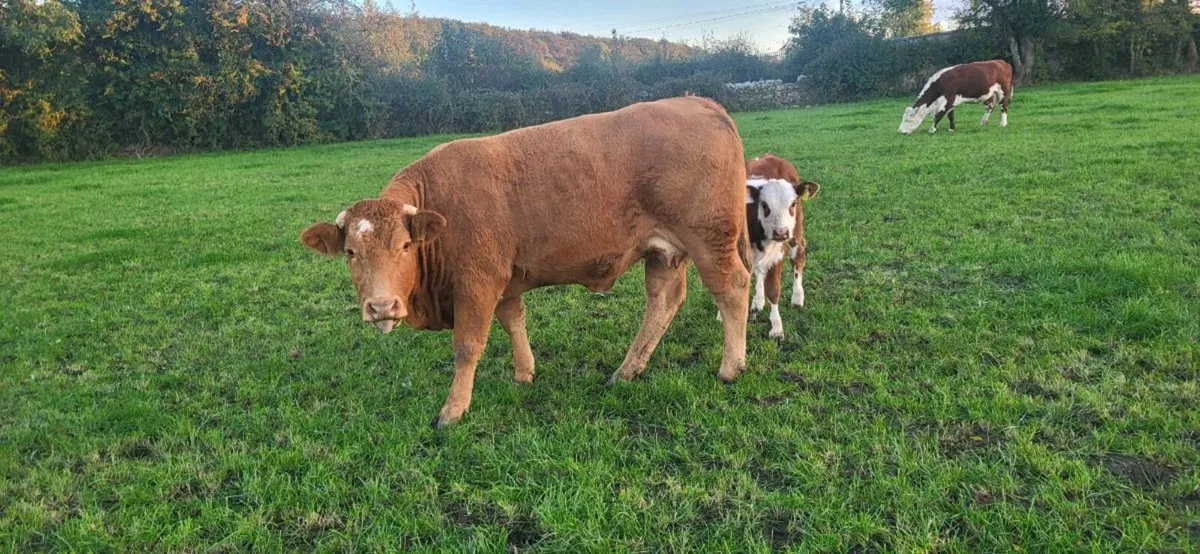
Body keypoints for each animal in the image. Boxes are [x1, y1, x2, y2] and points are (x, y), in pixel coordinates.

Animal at [300, 96, 752, 428]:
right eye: (351, 252)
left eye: (405, 246)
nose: (381, 307)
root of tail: (697, 101)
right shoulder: (505, 280)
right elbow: (514, 321)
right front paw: (524, 373)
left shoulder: (478, 282)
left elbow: (467, 346)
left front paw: (453, 410)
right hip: (664, 251)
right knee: (663, 302)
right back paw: (627, 370)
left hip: (709, 237)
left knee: (732, 288)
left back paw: (731, 368)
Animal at [743, 153, 820, 338]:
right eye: (764, 205)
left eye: (792, 204)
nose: (781, 233)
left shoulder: (778, 254)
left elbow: (773, 290)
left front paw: (777, 328)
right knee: (760, 271)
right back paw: (758, 301)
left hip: (796, 235)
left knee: (798, 259)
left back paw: (797, 298)